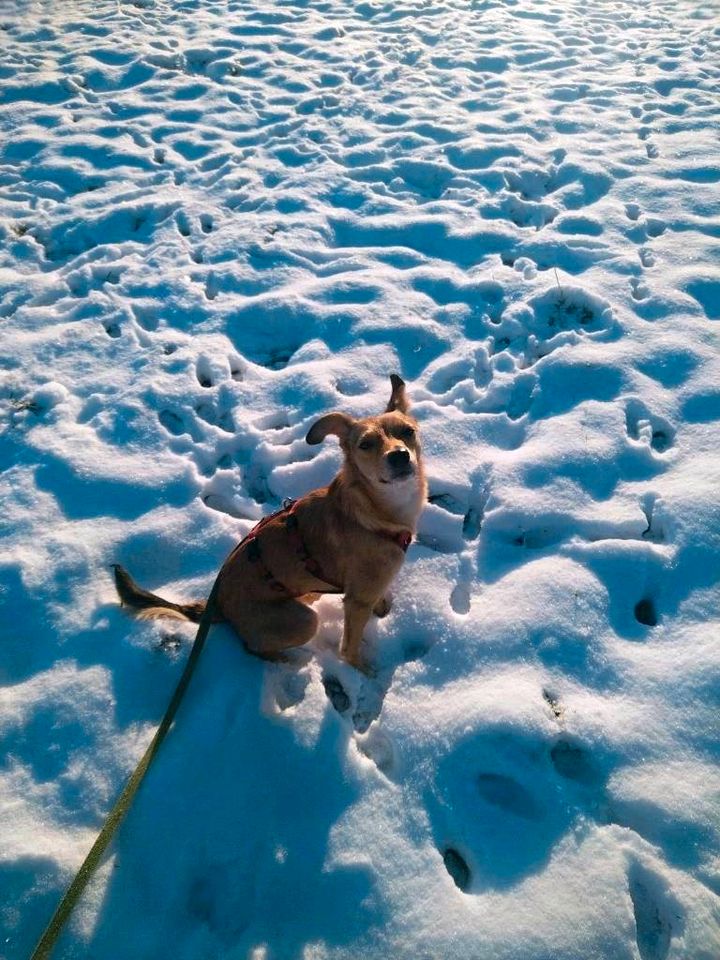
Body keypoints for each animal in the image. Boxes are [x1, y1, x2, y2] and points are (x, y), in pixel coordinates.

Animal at [114, 372, 428, 672]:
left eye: (408, 432)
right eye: (365, 444)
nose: (400, 456)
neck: (374, 511)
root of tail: (220, 608)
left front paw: (383, 606)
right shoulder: (356, 601)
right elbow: (349, 649)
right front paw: (364, 672)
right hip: (303, 621)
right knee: (254, 648)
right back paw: (291, 661)